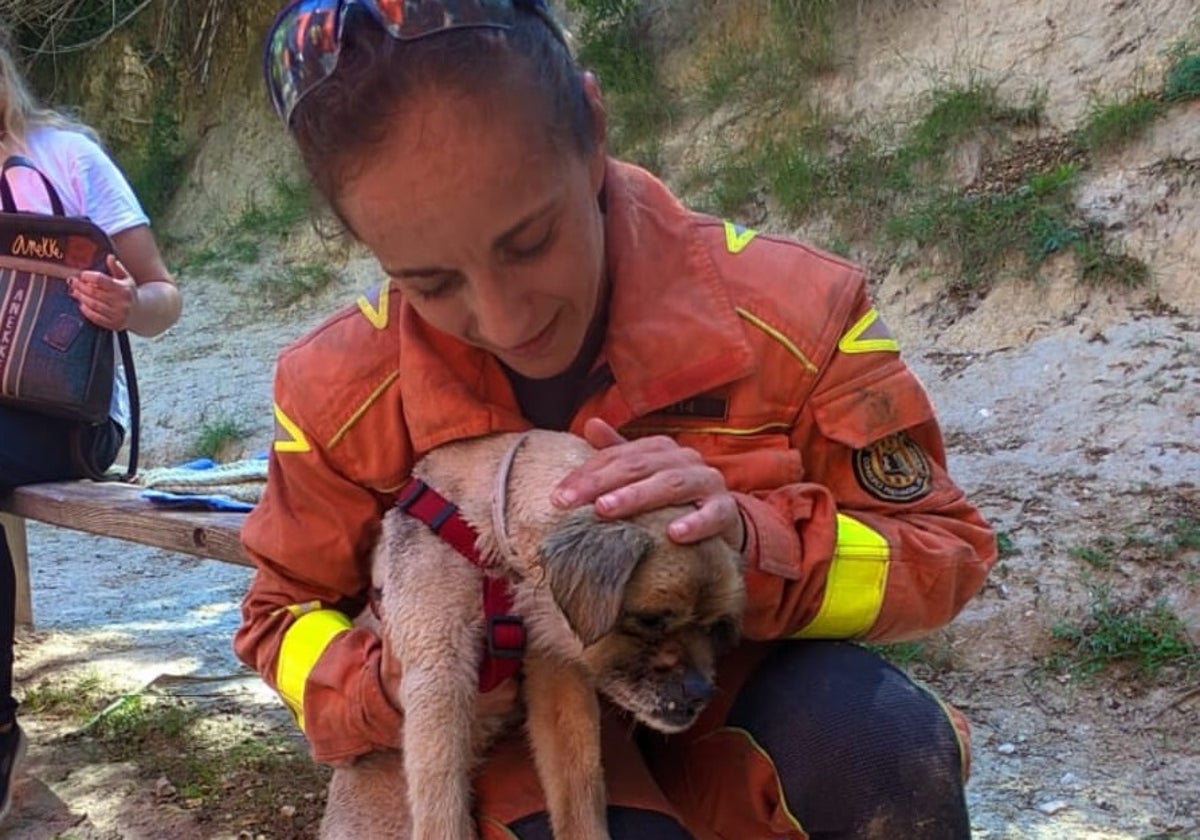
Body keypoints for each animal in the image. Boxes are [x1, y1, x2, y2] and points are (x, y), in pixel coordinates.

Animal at [324, 432, 744, 840]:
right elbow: (439, 800)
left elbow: (579, 784)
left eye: (715, 626)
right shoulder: (440, 670)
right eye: (651, 619)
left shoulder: (558, 675)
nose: (701, 693)